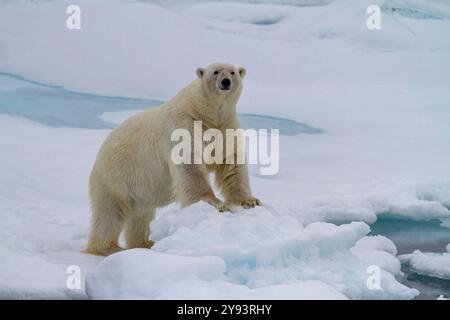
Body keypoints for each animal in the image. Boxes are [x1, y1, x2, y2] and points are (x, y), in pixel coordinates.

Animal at [85, 63, 260, 256]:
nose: (226, 81)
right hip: (114, 179)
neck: (204, 112)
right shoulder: (183, 123)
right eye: (215, 72)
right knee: (109, 214)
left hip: (137, 190)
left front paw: (249, 201)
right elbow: (189, 163)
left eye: (233, 72)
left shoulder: (225, 127)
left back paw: (145, 243)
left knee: (141, 216)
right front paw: (214, 203)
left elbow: (231, 164)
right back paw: (109, 247)